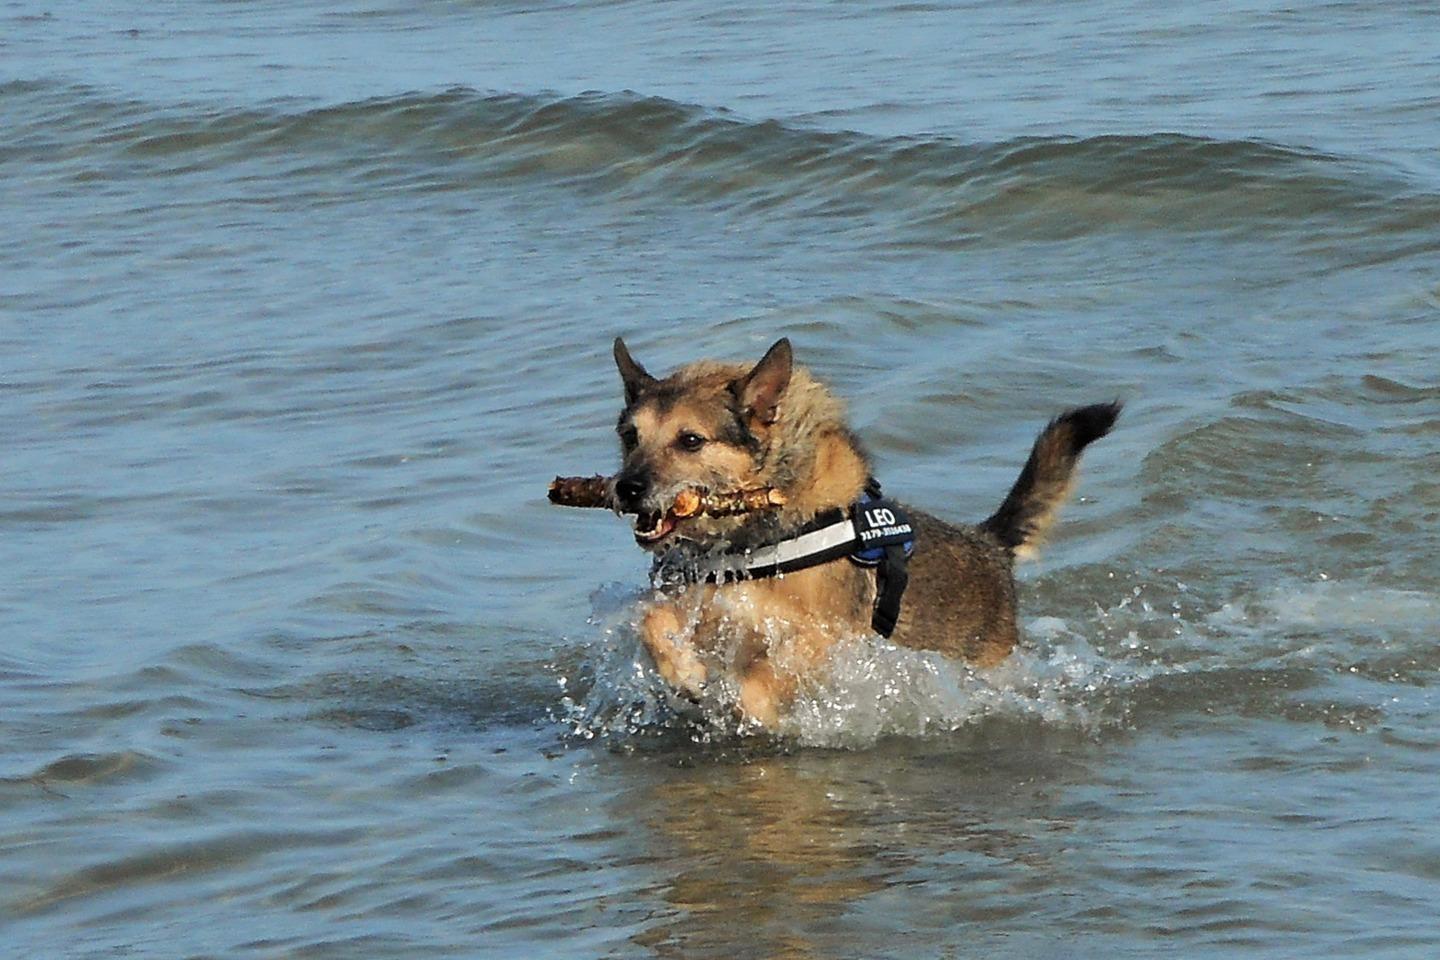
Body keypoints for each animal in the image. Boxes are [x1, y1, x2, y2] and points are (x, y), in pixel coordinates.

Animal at [608, 336, 1119, 729]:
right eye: (630, 438)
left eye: (691, 441)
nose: (625, 489)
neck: (749, 539)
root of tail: (989, 545)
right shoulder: (699, 607)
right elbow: (650, 620)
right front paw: (684, 672)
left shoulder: (826, 639)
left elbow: (761, 681)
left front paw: (755, 712)